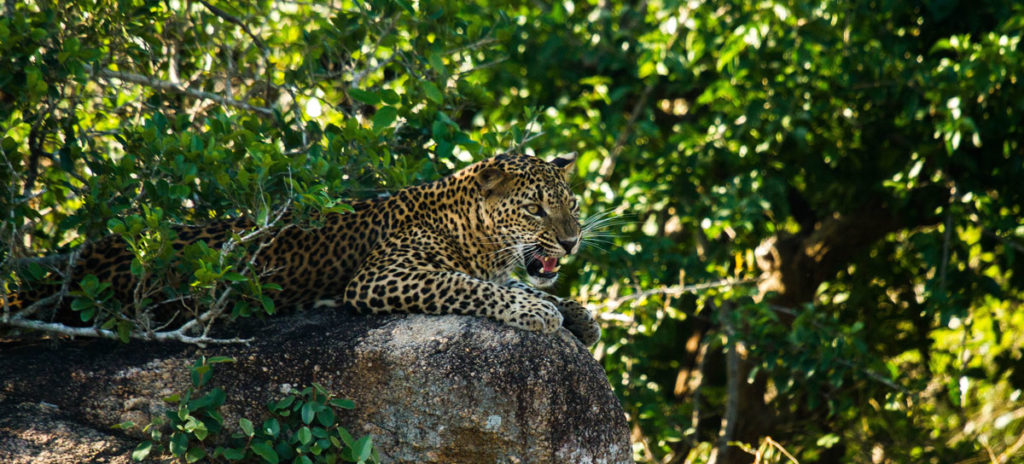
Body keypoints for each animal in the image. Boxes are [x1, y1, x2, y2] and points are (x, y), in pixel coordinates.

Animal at [6, 152, 602, 346]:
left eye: (571, 205)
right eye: (536, 209)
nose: (571, 240)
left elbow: (518, 283)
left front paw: (579, 314)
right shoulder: (383, 277)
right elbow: (469, 286)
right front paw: (538, 311)